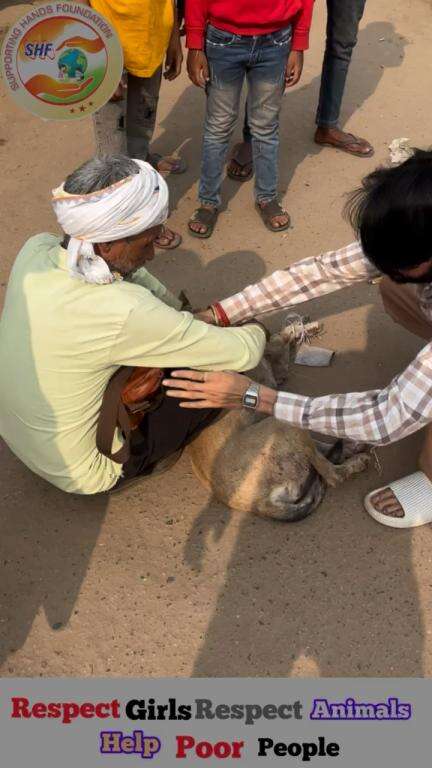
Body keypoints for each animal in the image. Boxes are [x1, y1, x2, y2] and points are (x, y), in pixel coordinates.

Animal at [186, 324, 372, 520]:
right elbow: (282, 338)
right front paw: (298, 330)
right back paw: (357, 461)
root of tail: (262, 505)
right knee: (332, 474)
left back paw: (352, 448)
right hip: (281, 423)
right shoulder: (272, 350)